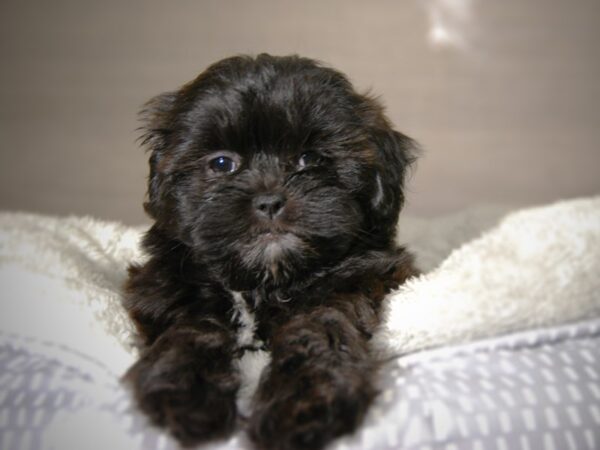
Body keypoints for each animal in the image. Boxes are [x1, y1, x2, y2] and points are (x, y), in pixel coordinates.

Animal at [123, 54, 418, 448]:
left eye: (310, 159)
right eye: (222, 164)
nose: (269, 201)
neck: (261, 281)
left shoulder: (358, 278)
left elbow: (319, 328)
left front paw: (306, 403)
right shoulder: (166, 284)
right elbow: (189, 329)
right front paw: (185, 392)